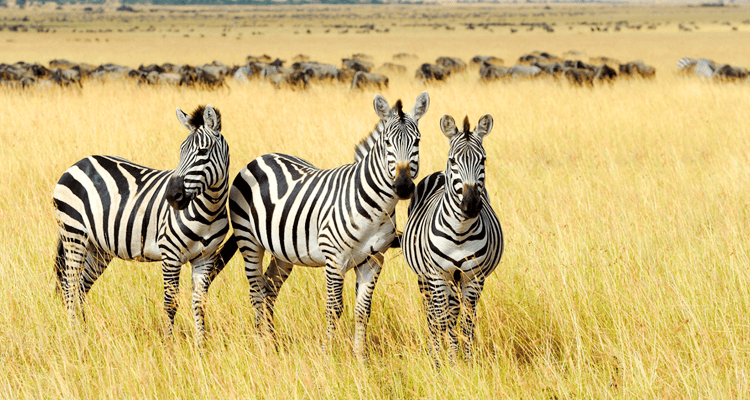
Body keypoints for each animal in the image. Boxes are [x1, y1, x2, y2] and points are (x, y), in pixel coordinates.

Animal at [53, 104, 231, 346]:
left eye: (203, 152)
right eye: (181, 151)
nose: (172, 197)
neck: (209, 211)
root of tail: (79, 163)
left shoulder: (206, 257)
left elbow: (199, 303)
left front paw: (201, 347)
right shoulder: (170, 254)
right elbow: (170, 303)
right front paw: (169, 346)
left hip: (98, 248)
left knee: (81, 287)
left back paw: (84, 332)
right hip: (74, 235)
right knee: (69, 286)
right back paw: (74, 335)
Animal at [225, 93, 428, 360]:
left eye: (417, 141)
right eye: (387, 143)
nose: (403, 186)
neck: (375, 207)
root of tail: (261, 157)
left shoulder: (373, 260)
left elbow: (363, 310)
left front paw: (360, 358)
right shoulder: (335, 259)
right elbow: (334, 308)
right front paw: (327, 355)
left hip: (283, 252)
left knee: (269, 289)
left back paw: (273, 343)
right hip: (249, 241)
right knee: (256, 292)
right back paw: (262, 346)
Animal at [400, 112, 506, 368]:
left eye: (483, 160)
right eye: (453, 160)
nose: (471, 205)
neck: (460, 232)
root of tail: (439, 172)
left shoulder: (474, 277)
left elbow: (466, 322)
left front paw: (465, 363)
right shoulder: (437, 275)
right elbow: (441, 319)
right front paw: (441, 364)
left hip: (457, 281)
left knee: (455, 313)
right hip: (425, 278)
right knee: (432, 313)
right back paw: (435, 352)